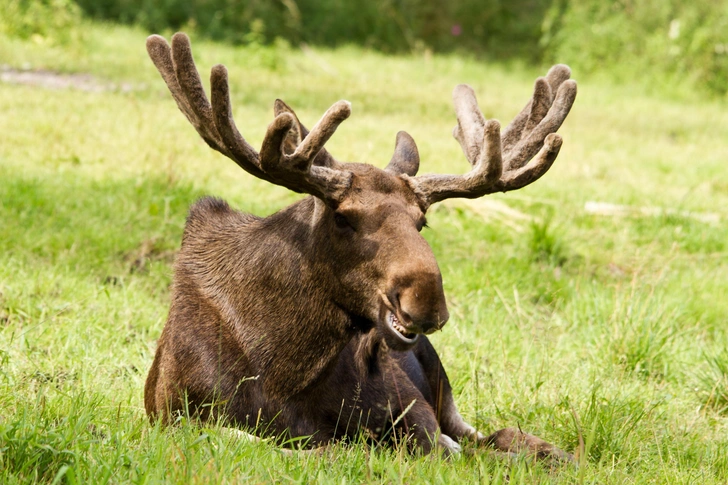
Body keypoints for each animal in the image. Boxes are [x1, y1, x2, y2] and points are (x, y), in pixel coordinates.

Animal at [145, 33, 580, 458]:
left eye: (421, 221)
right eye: (342, 218)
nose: (426, 300)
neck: (285, 373)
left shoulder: (414, 412)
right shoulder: (174, 416)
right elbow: (278, 444)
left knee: (491, 436)